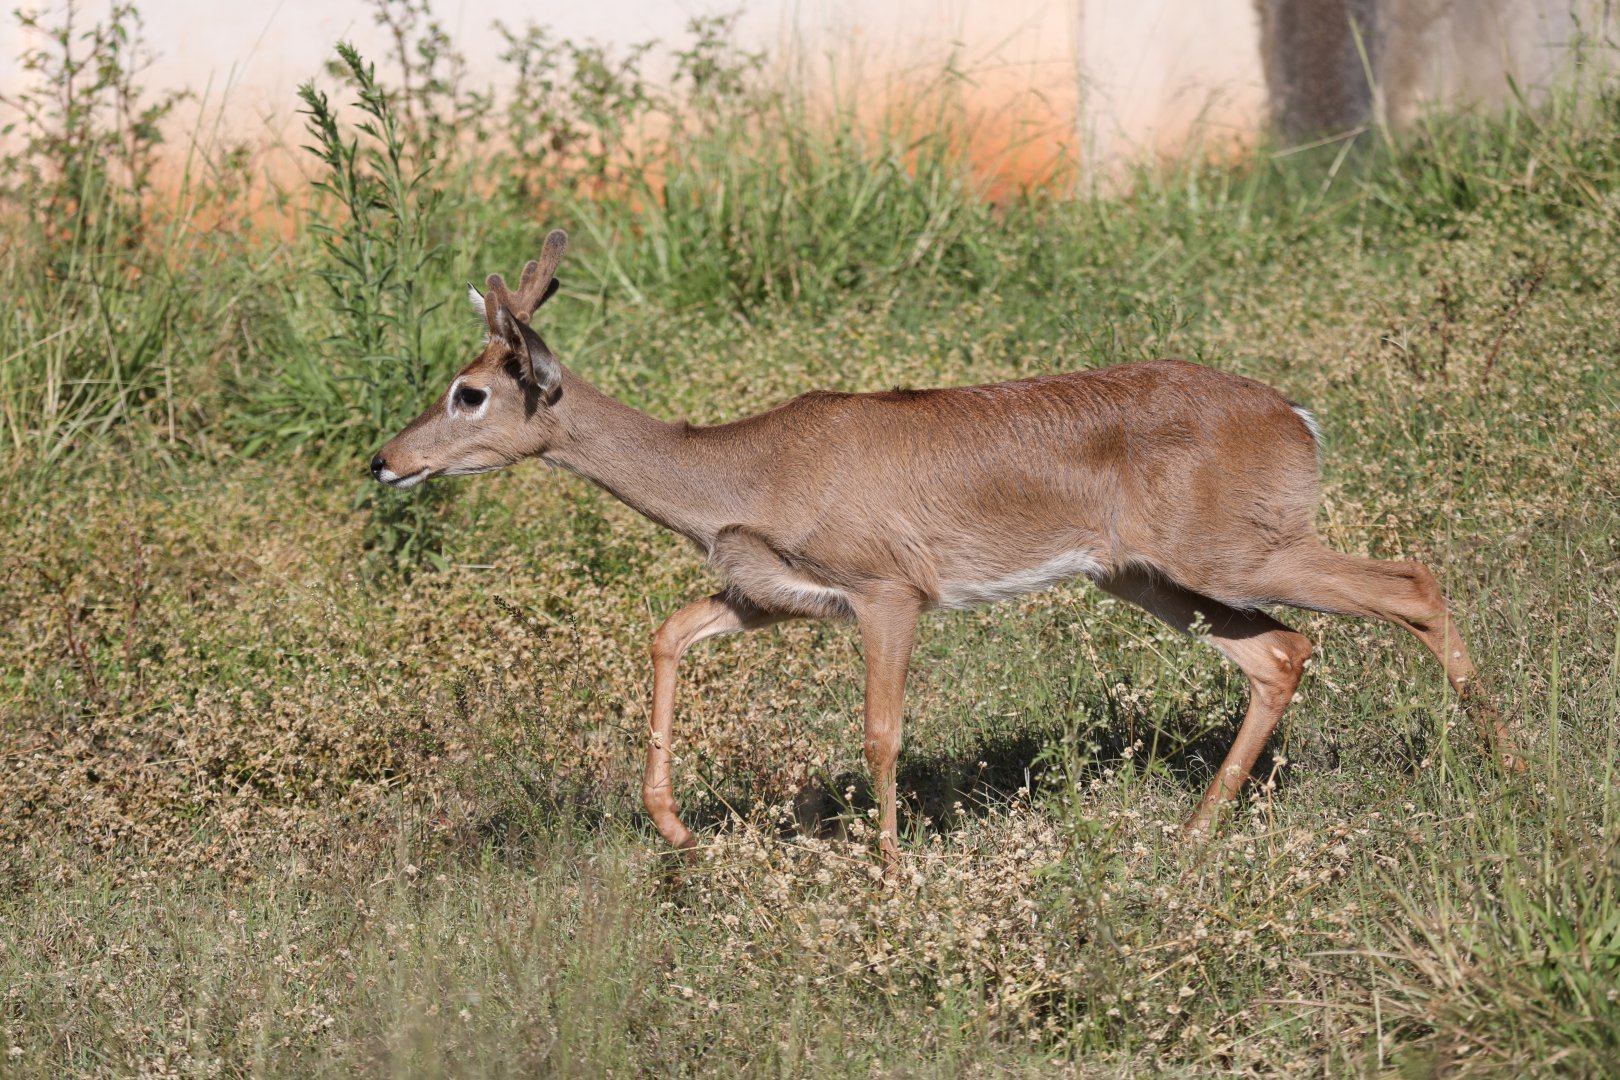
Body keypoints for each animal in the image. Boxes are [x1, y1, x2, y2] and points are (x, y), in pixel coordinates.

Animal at [371, 229, 1525, 871]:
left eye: (468, 392)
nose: (385, 461)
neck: (741, 474)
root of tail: (1298, 417)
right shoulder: (766, 595)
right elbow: (665, 633)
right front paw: (678, 832)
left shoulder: (889, 588)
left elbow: (880, 735)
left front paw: (887, 880)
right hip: (1149, 579)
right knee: (1281, 651)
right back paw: (1192, 838)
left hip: (1233, 552)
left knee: (1411, 580)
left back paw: (1507, 767)